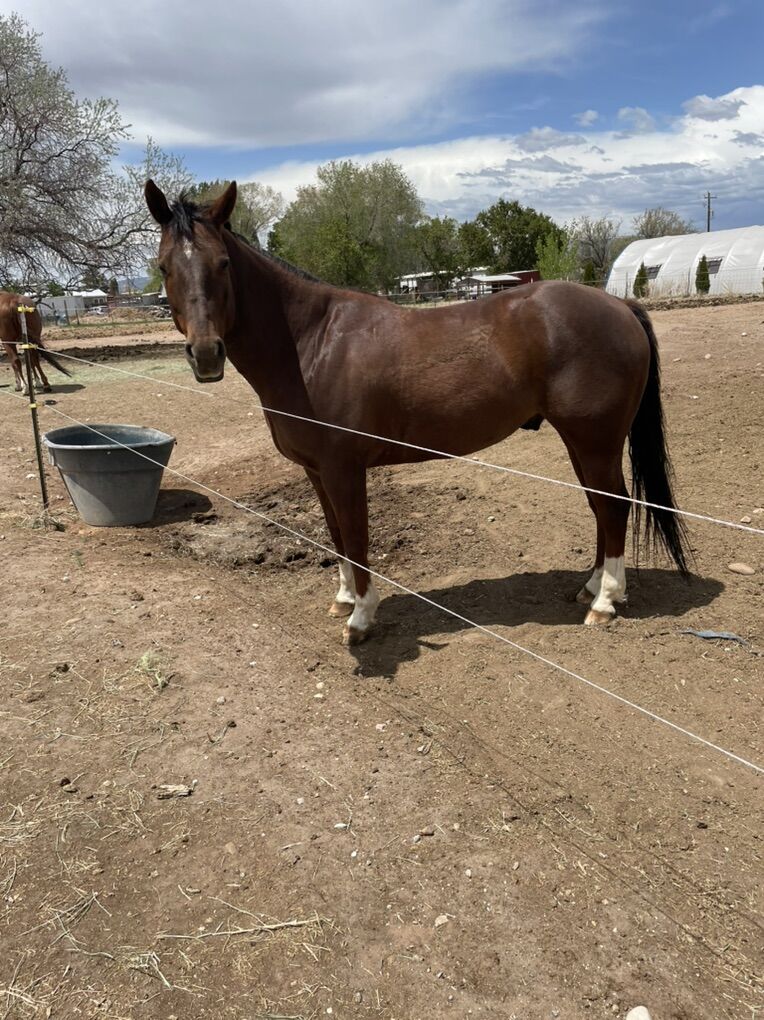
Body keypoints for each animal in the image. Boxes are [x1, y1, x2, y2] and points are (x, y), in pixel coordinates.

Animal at [145, 179, 689, 644]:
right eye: (165, 266)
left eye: (223, 264)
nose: (206, 354)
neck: (311, 344)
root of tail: (619, 306)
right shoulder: (317, 472)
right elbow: (336, 535)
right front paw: (343, 600)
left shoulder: (344, 470)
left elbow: (357, 537)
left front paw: (362, 617)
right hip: (581, 441)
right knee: (601, 505)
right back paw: (591, 587)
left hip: (595, 440)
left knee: (614, 506)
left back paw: (605, 602)